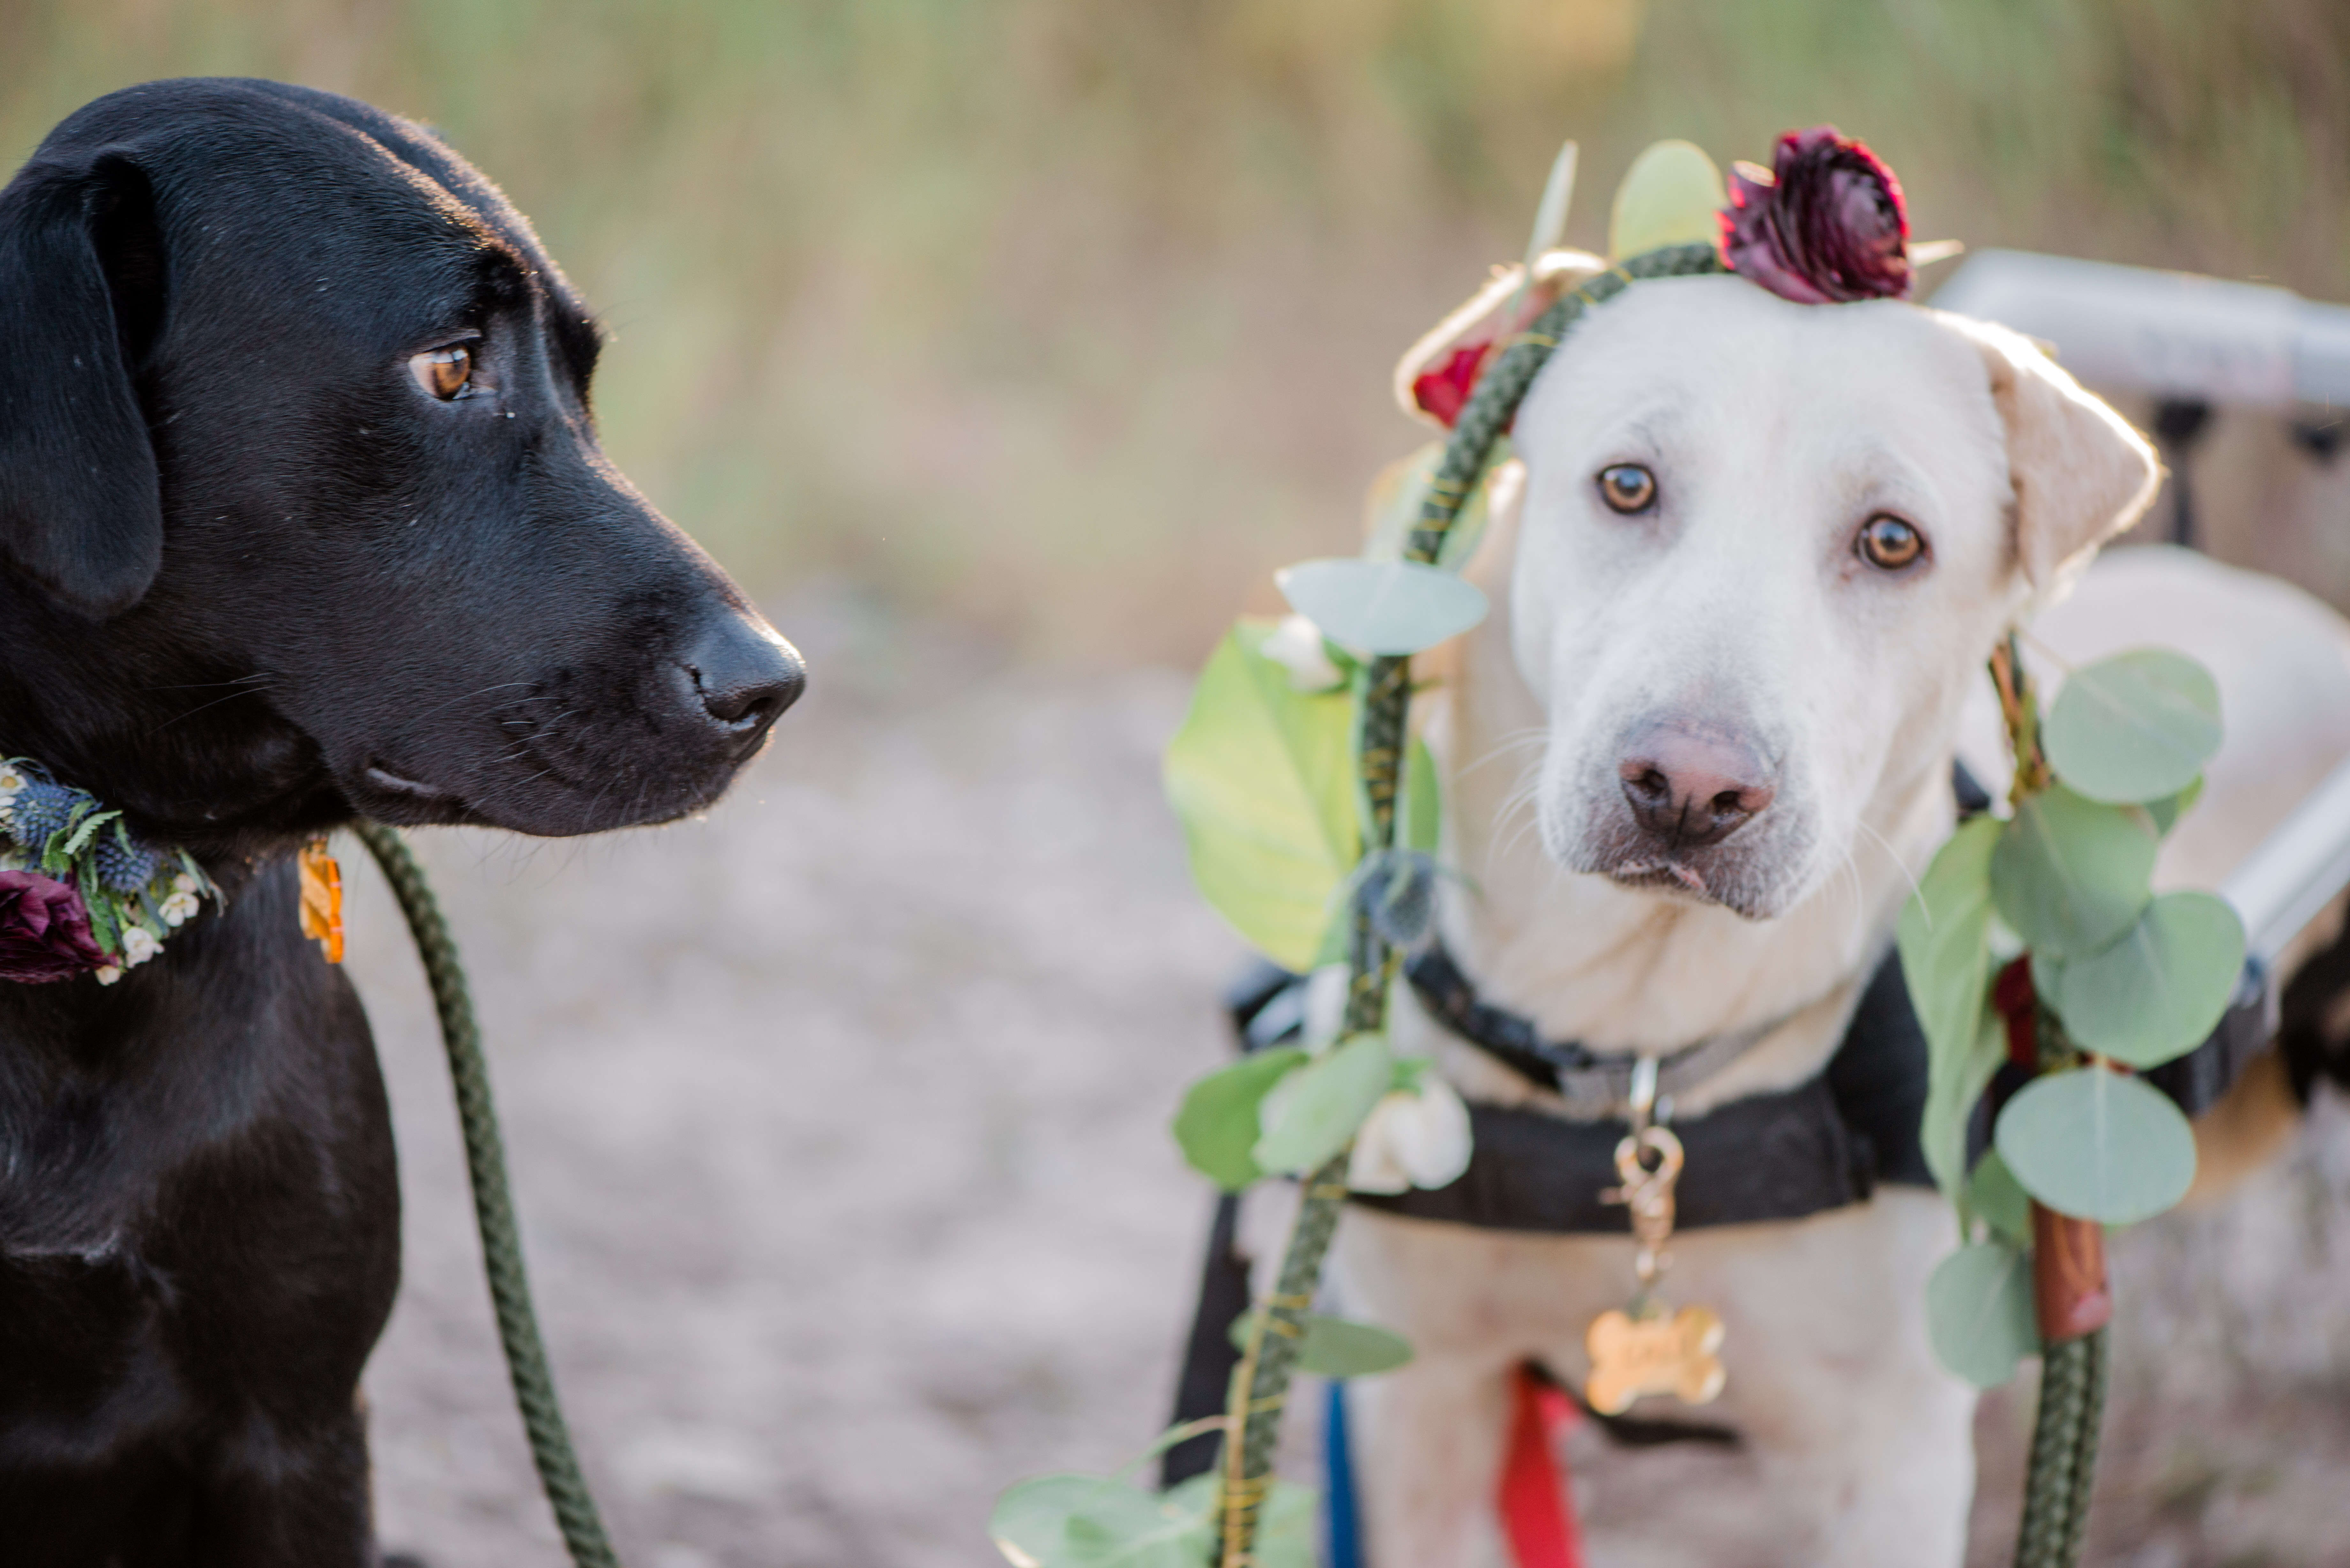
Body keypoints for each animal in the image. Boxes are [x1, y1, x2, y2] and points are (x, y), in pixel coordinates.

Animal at [1316, 263, 2350, 1561]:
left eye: (1892, 541)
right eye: (1626, 484)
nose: (1688, 791)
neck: (1639, 1048)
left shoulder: (1888, 1463)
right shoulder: (1422, 1410)